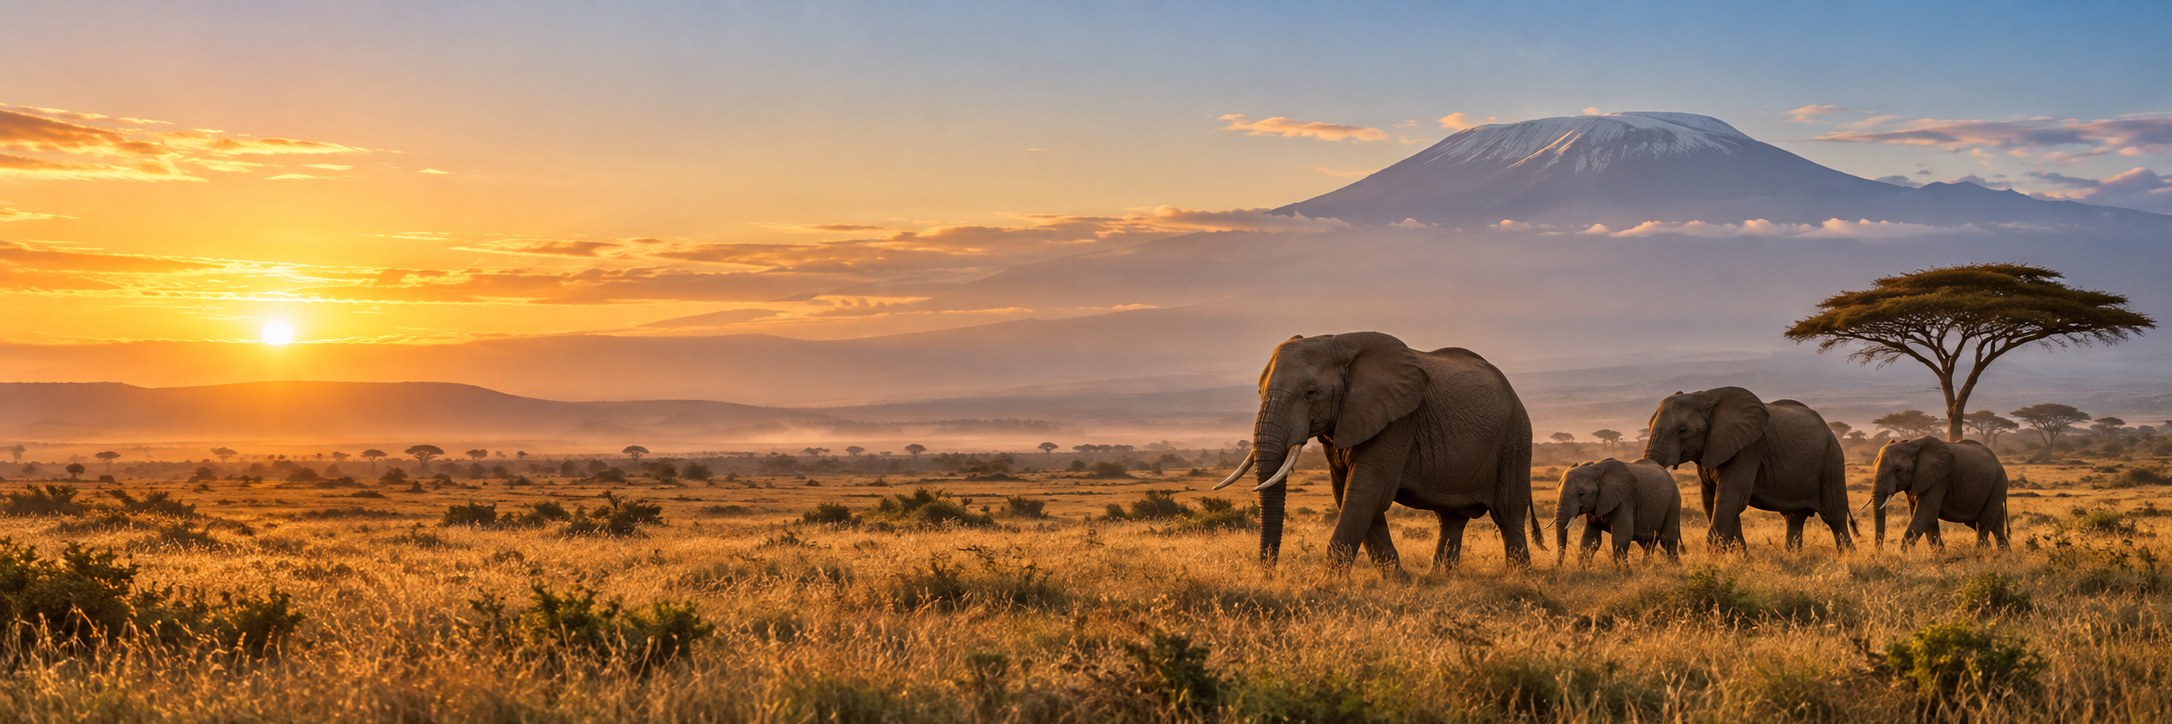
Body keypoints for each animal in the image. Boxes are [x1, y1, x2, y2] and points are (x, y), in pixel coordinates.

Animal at [1210, 332, 1542, 576]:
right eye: (1259, 392)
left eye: (1311, 393)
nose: (1268, 573)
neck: (1340, 343)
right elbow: (1347, 493)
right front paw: (1400, 580)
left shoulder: (1397, 421)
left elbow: (1365, 491)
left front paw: (1329, 584)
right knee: (1452, 518)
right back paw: (1438, 578)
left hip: (1515, 438)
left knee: (1509, 514)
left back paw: (1519, 578)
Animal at [1553, 458, 1682, 565]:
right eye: (1557, 491)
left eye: (1581, 494)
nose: (1559, 567)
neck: (1595, 470)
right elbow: (1590, 540)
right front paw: (1583, 570)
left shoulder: (1625, 500)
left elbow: (1621, 537)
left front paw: (1624, 572)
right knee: (1648, 544)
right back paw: (1646, 567)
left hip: (1673, 504)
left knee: (1668, 541)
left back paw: (1674, 567)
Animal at [1641, 387, 1856, 552]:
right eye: (1649, 425)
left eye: (1682, 431)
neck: (1705, 396)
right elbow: (1712, 500)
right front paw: (1739, 559)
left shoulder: (1748, 448)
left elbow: (1730, 498)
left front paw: (1717, 559)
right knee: (1794, 518)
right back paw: (1793, 557)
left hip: (1831, 462)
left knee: (1834, 516)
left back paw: (1847, 557)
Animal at [1872, 436, 2011, 551]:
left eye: (1898, 469)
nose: (1880, 554)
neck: (1911, 444)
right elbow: (1926, 518)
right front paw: (1940, 556)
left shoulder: (1939, 479)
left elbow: (1925, 514)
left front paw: (1903, 555)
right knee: (1993, 527)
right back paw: (2002, 555)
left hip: (1998, 484)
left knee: (1983, 523)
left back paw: (1981, 553)